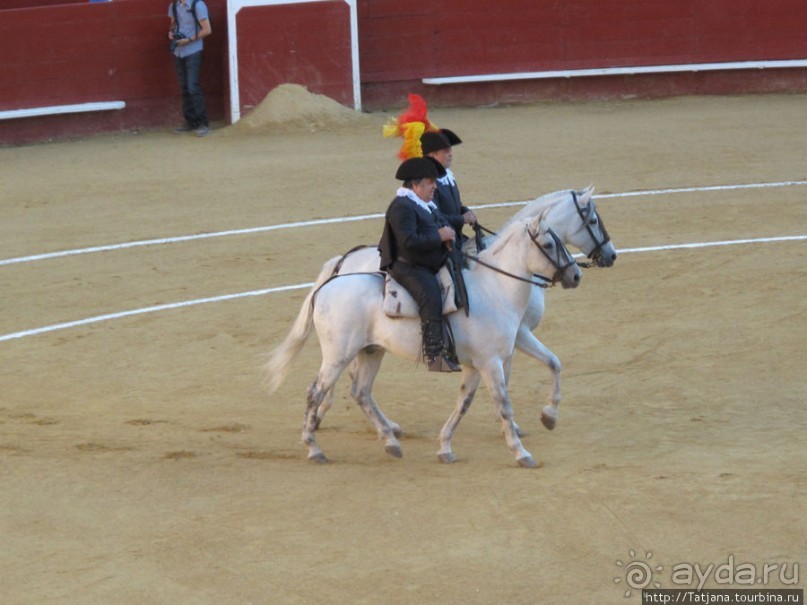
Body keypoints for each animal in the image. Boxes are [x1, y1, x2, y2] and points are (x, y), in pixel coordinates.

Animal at [268, 212, 584, 468]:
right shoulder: (491, 363)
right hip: (338, 355)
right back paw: (314, 448)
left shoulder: (477, 364)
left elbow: (464, 403)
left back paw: (391, 442)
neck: (495, 289)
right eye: (549, 244)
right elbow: (503, 405)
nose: (576, 275)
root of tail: (326, 287)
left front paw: (445, 448)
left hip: (370, 351)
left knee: (360, 390)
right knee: (316, 392)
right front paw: (521, 453)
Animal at [310, 184, 620, 434]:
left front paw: (525, 421)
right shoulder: (517, 335)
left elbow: (543, 365)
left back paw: (379, 426)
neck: (501, 277)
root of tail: (343, 262)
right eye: (593, 220)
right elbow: (532, 369)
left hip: (370, 345)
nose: (611, 255)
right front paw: (529, 421)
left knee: (355, 382)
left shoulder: (510, 340)